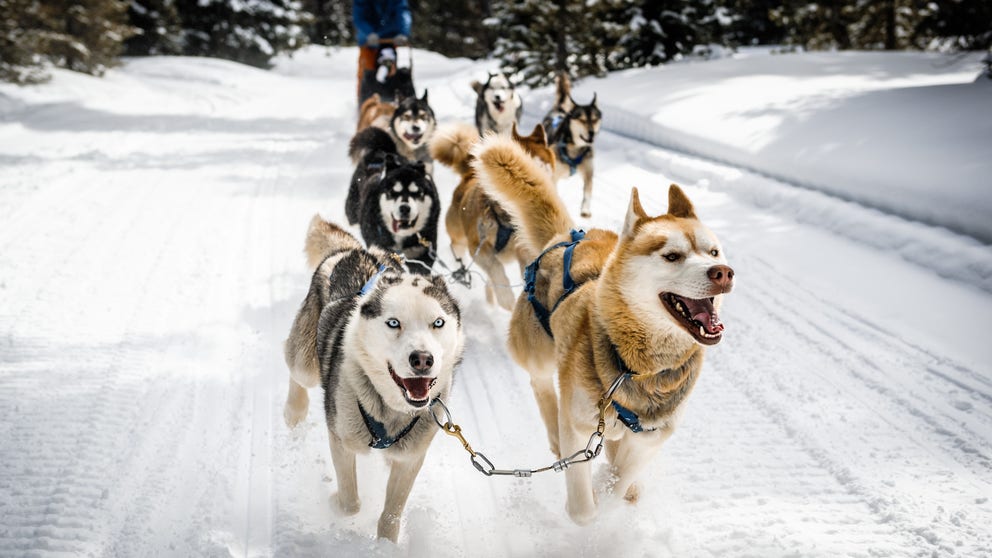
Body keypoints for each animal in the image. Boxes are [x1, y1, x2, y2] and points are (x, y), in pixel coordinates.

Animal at [280, 217, 464, 544]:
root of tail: (358, 250)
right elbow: (350, 502)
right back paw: (294, 411)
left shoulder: (411, 458)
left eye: (438, 322)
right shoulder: (341, 438)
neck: (390, 410)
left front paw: (386, 544)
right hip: (306, 362)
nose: (423, 359)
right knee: (295, 368)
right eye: (394, 323)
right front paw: (335, 502)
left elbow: (392, 512)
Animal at [348, 127, 442, 276]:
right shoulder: (382, 247)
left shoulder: (421, 251)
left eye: (417, 192)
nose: (405, 208)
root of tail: (380, 151)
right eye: (392, 192)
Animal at [430, 121, 556, 310]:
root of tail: (469, 175)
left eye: (539, 164)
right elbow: (495, 268)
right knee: (460, 253)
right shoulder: (478, 245)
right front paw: (506, 297)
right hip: (459, 238)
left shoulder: (524, 250)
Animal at [472, 135, 736, 524]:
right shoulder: (580, 427)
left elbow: (621, 475)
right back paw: (554, 429)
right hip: (538, 354)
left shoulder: (651, 437)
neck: (636, 368)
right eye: (672, 256)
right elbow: (584, 509)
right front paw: (592, 496)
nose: (722, 272)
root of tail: (568, 236)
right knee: (542, 389)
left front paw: (616, 485)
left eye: (713, 251)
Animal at [544, 70, 596, 219]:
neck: (574, 148)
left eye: (594, 119)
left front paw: (585, 209)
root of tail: (560, 109)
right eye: (582, 120)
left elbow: (587, 191)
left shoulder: (588, 171)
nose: (591, 133)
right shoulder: (553, 176)